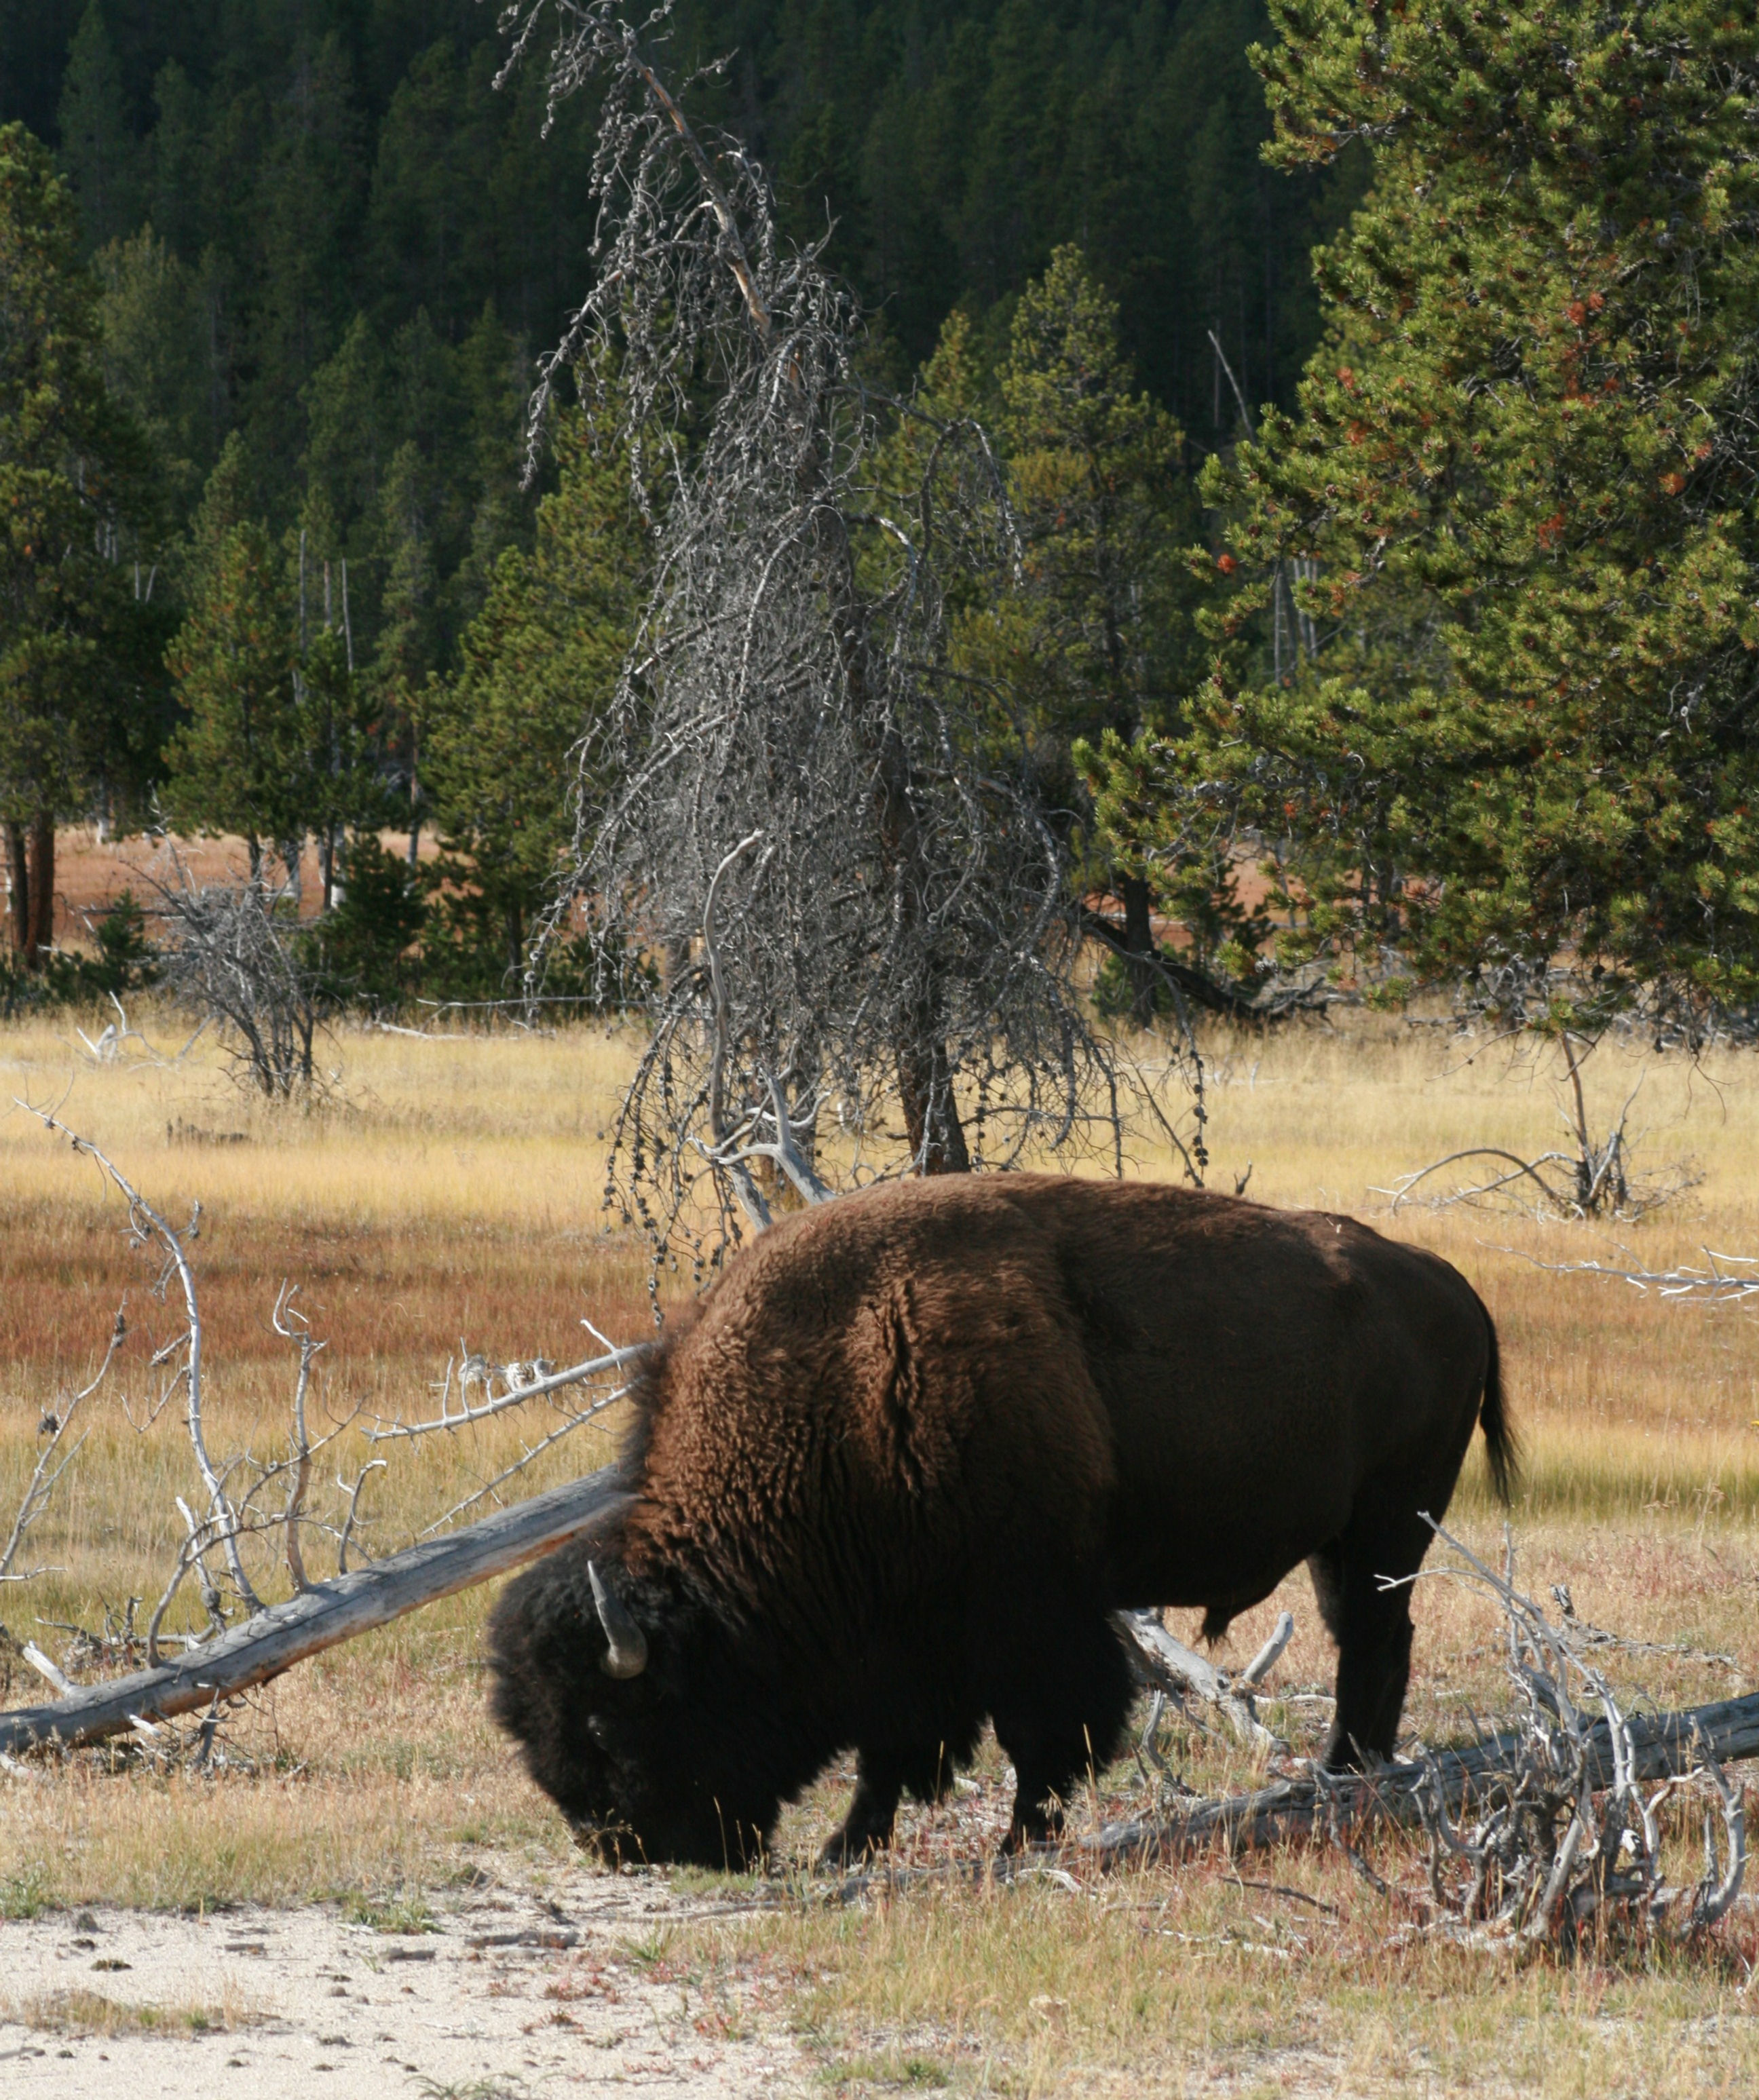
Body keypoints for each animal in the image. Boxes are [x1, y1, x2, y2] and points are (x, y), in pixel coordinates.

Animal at [487, 1176, 1505, 1865]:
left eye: (609, 1725)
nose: (620, 1843)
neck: (849, 1377)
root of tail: (1455, 1285)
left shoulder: (1027, 1611)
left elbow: (1045, 1732)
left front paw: (1020, 1843)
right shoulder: (907, 1640)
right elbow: (895, 1749)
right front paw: (850, 1847)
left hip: (1387, 1526)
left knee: (1374, 1639)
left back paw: (1346, 1777)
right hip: (1349, 1539)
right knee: (1371, 1640)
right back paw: (1344, 1777)